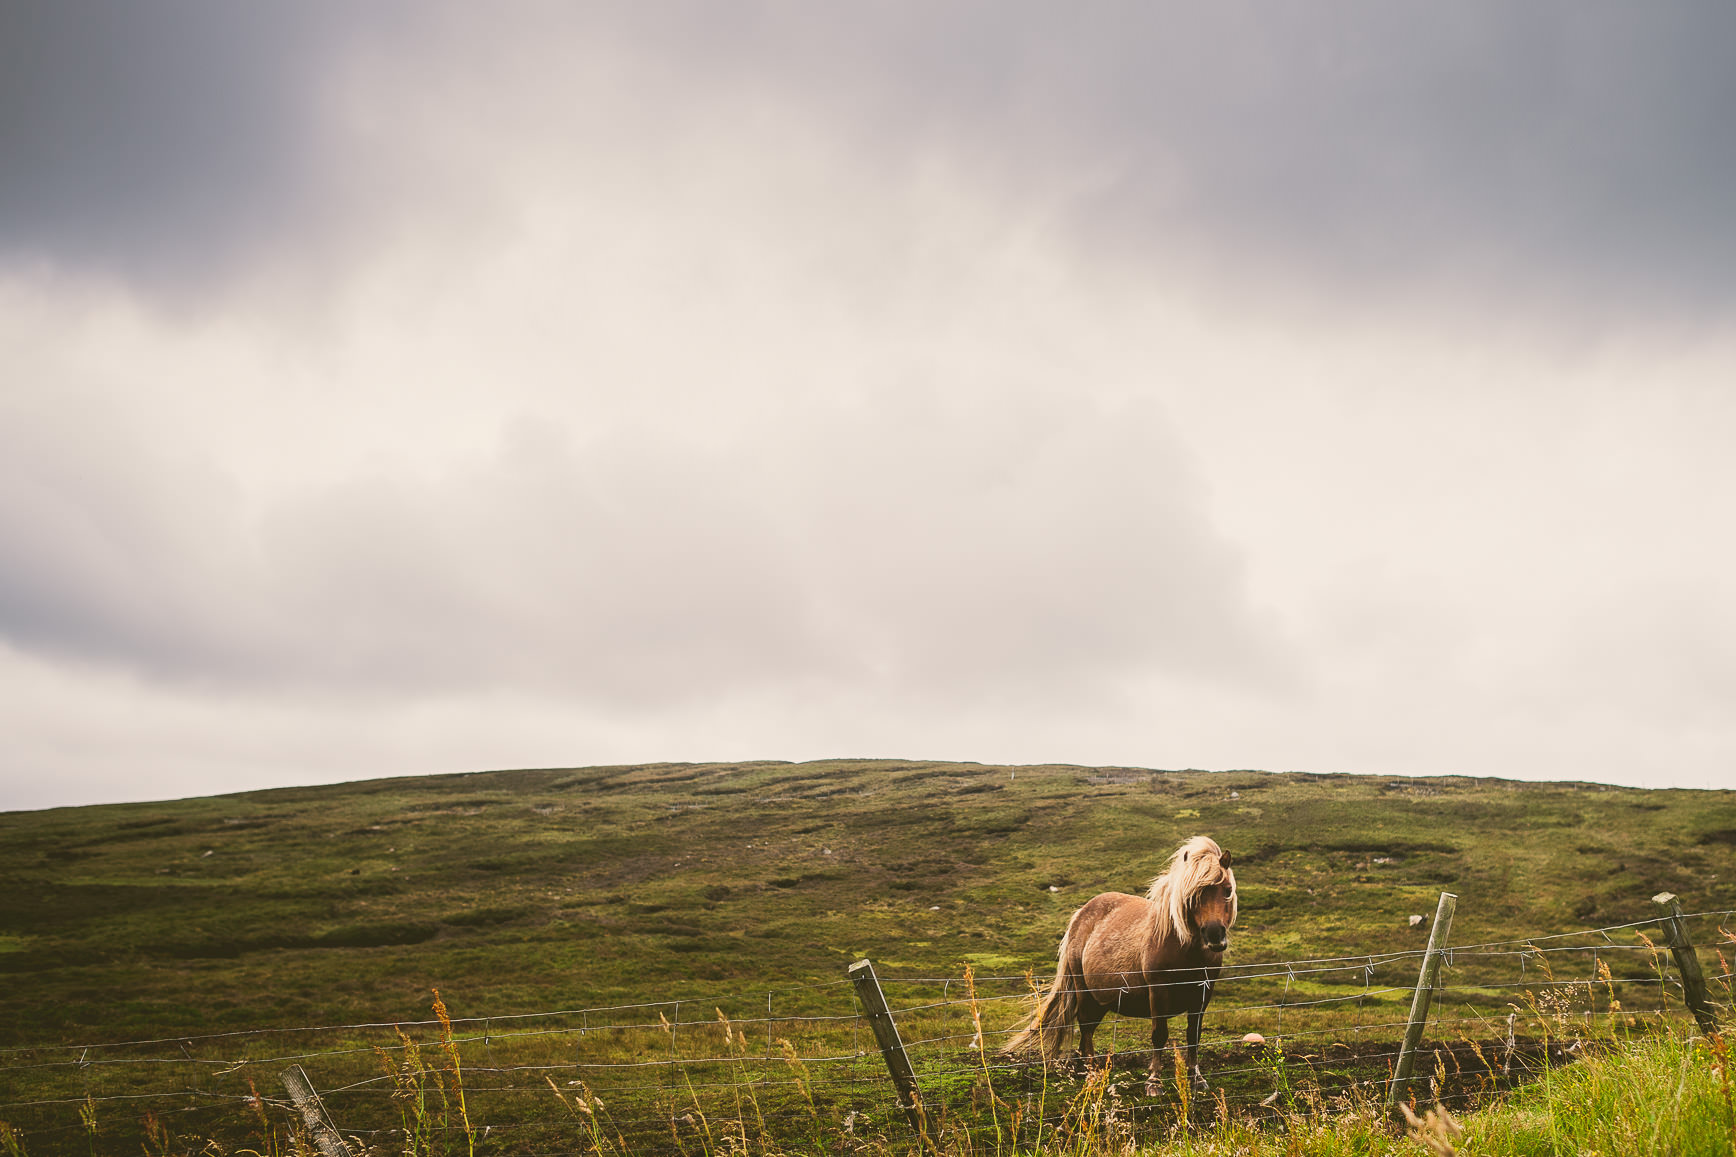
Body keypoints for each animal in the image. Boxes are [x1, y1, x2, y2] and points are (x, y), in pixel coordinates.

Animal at [1006, 830, 1236, 1090]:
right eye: (1193, 895)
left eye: (1227, 889)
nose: (1215, 935)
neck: (1183, 947)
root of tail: (1080, 915)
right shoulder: (1158, 991)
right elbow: (1159, 1035)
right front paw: (1154, 1081)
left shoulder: (1203, 992)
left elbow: (1193, 1036)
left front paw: (1197, 1078)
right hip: (1084, 991)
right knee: (1085, 1026)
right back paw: (1092, 1072)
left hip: (1100, 1000)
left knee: (1087, 1029)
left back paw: (1083, 1068)